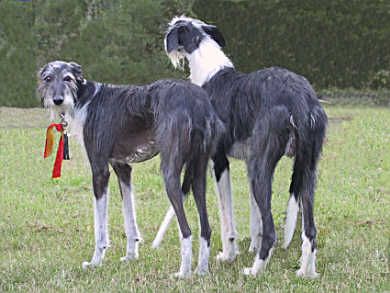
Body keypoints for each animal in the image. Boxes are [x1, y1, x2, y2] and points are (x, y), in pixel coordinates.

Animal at [38, 60, 225, 276]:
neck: (86, 98)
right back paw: (201, 270)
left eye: (67, 78)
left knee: (186, 230)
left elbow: (100, 227)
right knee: (206, 228)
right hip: (198, 174)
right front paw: (130, 256)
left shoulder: (100, 171)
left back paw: (183, 273)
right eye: (48, 78)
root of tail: (198, 101)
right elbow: (129, 219)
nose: (57, 100)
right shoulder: (122, 169)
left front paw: (95, 262)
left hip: (170, 173)